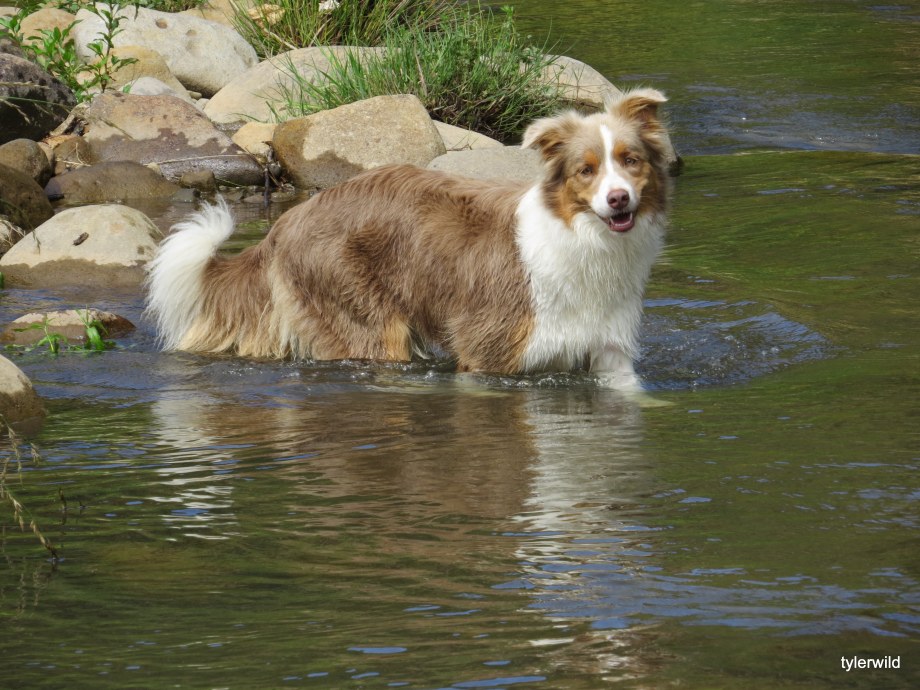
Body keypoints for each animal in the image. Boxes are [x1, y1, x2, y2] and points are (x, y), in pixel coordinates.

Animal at [145, 88, 672, 391]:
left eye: (631, 161)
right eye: (586, 170)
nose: (619, 200)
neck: (586, 244)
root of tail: (288, 222)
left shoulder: (610, 353)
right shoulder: (490, 355)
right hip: (366, 320)